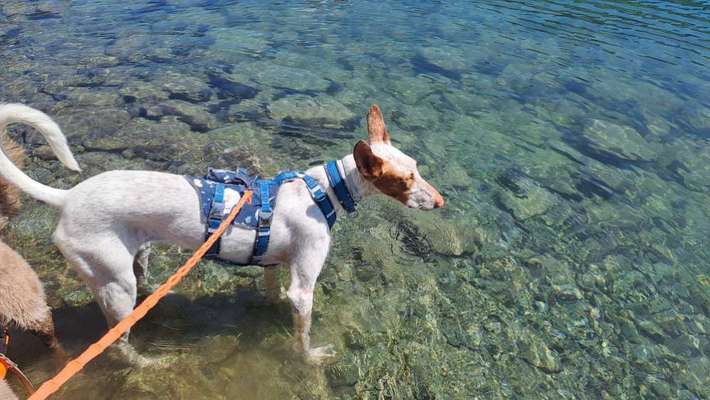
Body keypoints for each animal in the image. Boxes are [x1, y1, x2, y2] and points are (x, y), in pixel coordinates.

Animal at [0, 103, 444, 366]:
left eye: (417, 168)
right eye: (405, 180)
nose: (440, 201)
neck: (322, 191)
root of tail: (68, 197)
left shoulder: (273, 265)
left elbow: (271, 292)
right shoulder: (303, 287)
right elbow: (303, 335)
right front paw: (311, 358)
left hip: (135, 258)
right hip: (115, 285)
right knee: (117, 343)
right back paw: (148, 363)